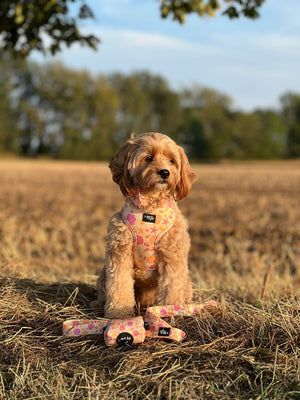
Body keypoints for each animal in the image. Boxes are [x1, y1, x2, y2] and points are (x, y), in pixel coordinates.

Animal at [95, 132, 196, 318]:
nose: (165, 172)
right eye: (148, 158)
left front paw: (169, 310)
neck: (150, 208)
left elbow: (171, 287)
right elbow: (119, 286)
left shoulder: (172, 255)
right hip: (104, 273)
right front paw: (119, 315)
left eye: (172, 160)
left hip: (186, 281)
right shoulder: (120, 252)